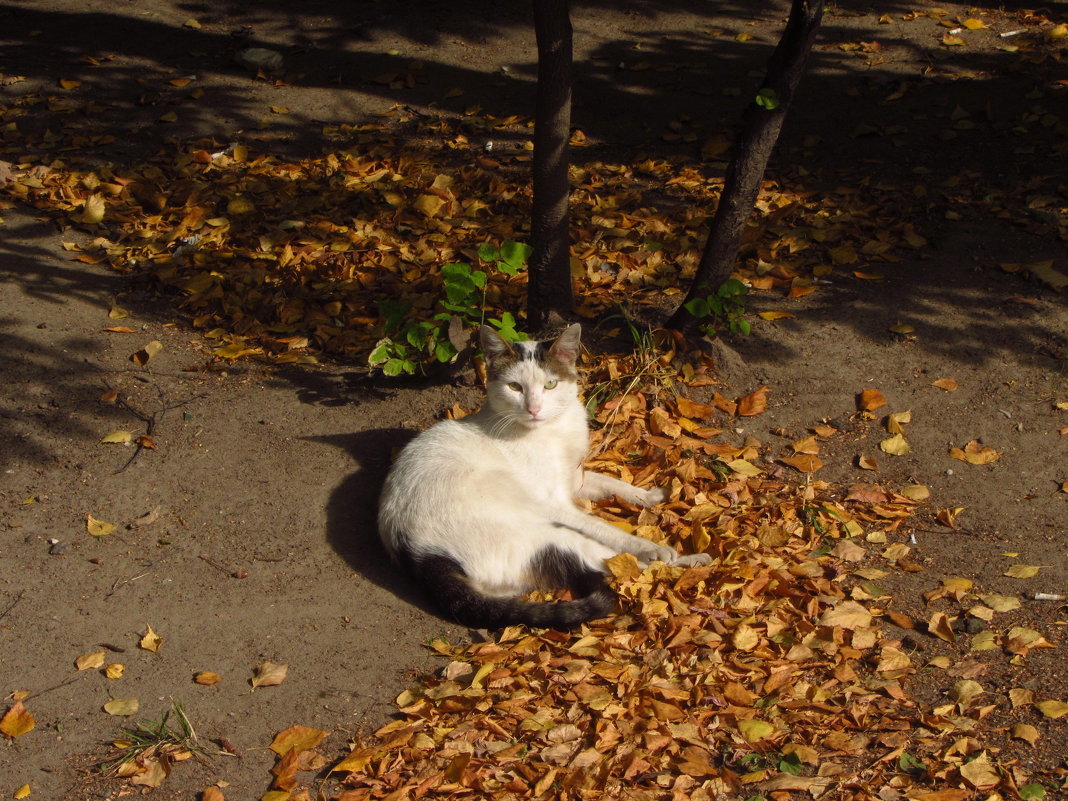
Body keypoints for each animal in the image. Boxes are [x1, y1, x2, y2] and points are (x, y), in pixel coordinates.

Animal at [375, 322, 709, 632]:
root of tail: (418, 556)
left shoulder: (575, 480)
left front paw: (651, 496)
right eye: (514, 387)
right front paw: (650, 545)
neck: (554, 429)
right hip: (551, 533)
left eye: (550, 384)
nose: (534, 408)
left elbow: (612, 483)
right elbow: (608, 529)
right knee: (618, 564)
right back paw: (680, 560)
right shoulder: (557, 505)